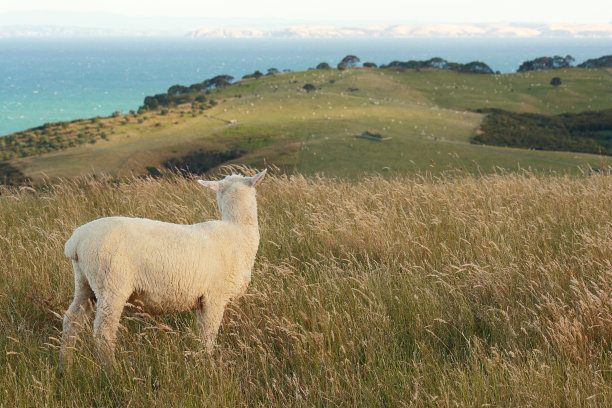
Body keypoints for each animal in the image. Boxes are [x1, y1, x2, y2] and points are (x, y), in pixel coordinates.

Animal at [59, 169, 266, 372]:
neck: (238, 230)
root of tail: (75, 241)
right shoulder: (215, 297)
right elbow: (209, 336)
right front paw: (208, 366)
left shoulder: (201, 300)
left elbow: (201, 333)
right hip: (111, 284)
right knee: (103, 333)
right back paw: (113, 371)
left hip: (85, 284)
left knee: (71, 322)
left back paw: (66, 368)